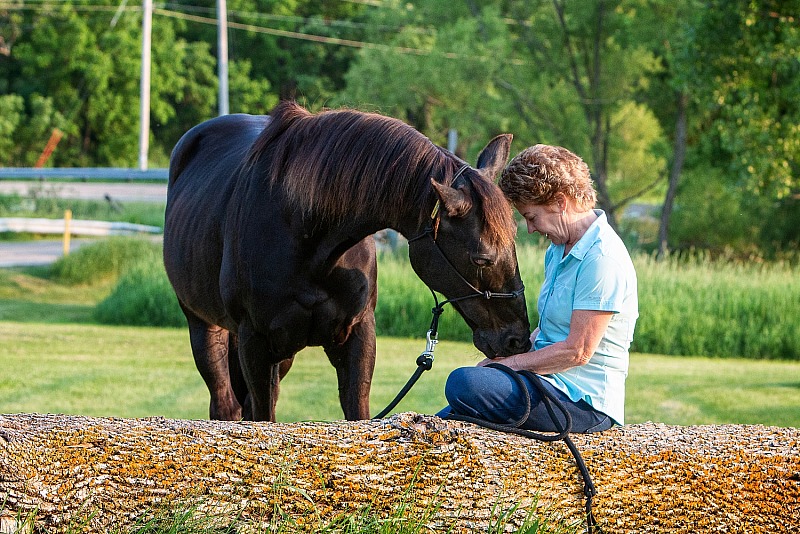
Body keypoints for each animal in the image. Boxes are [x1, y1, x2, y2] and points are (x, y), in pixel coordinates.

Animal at [164, 102, 532, 426]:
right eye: (481, 258)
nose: (518, 341)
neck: (307, 234)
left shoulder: (357, 335)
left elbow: (356, 414)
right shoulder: (255, 342)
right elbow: (262, 419)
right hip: (204, 327)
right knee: (225, 405)